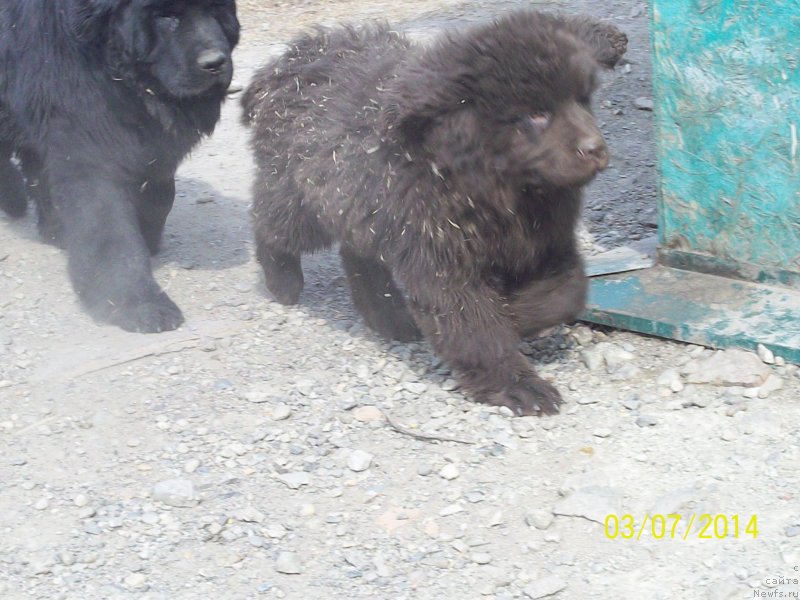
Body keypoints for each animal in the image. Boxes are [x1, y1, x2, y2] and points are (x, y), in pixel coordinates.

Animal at [0, 0, 238, 332]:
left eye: (217, 11)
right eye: (167, 17)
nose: (214, 62)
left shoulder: (150, 140)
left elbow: (159, 195)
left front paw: (148, 236)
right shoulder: (88, 140)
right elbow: (108, 227)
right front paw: (138, 304)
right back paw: (15, 200)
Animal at [241, 11, 628, 414]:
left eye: (584, 101)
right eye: (537, 114)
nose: (595, 148)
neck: (506, 190)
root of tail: (283, 65)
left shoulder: (547, 241)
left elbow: (567, 291)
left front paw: (520, 315)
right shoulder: (442, 259)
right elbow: (475, 327)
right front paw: (518, 385)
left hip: (361, 204)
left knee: (357, 255)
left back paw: (389, 319)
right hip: (303, 199)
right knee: (270, 223)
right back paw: (283, 282)